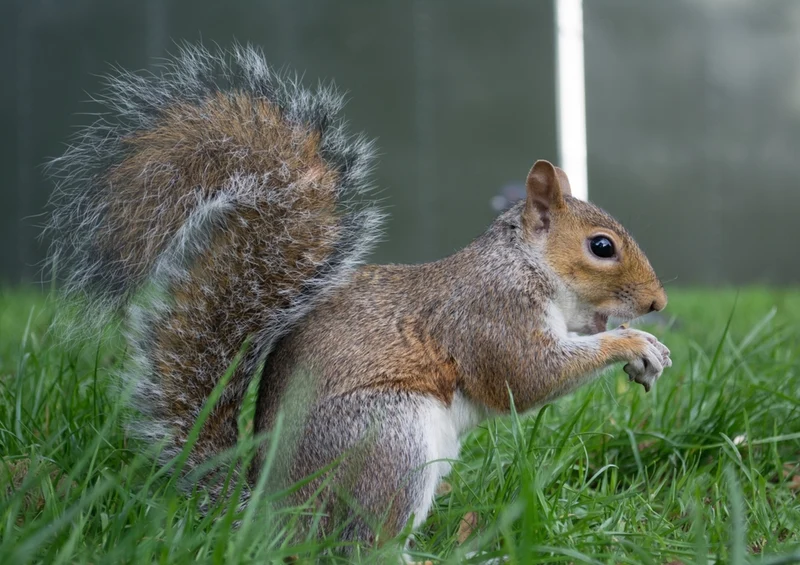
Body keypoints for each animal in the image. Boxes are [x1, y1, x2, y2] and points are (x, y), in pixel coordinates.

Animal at [45, 44, 671, 550]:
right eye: (601, 246)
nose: (658, 303)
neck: (527, 267)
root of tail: (274, 513)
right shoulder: (490, 313)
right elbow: (527, 376)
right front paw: (634, 342)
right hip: (387, 439)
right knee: (364, 541)